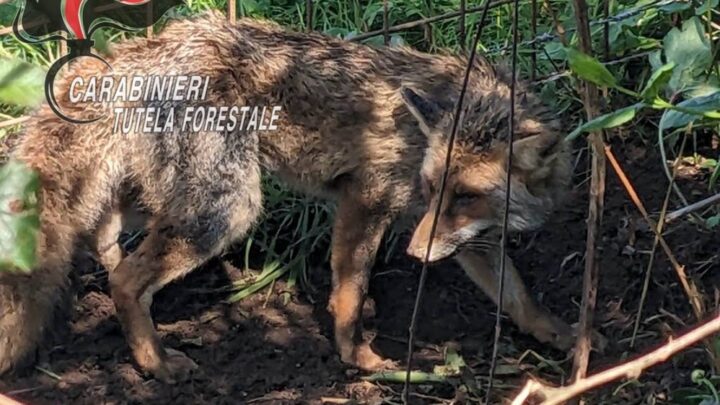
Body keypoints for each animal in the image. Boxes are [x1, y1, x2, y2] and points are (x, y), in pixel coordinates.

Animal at [0, 11, 575, 383]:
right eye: (433, 187)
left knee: (104, 234)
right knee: (124, 279)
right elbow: (350, 291)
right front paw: (357, 358)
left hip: (164, 196)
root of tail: (157, 42)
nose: (414, 254)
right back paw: (156, 365)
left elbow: (516, 294)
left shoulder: (464, 234)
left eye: (465, 196)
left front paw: (562, 338)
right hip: (226, 209)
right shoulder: (368, 197)